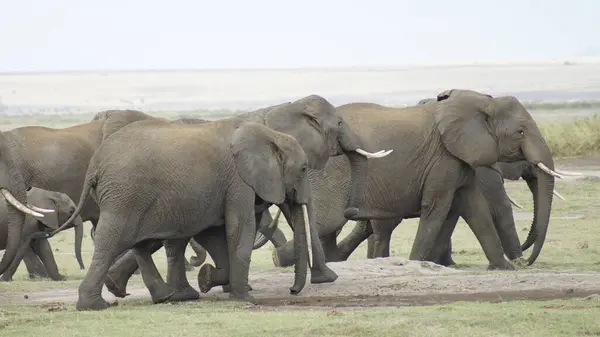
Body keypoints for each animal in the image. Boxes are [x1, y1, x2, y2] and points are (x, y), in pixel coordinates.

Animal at [41, 118, 322, 310]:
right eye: (304, 168)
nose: (293, 290)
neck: (271, 134)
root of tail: (95, 164)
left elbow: (215, 234)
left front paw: (207, 279)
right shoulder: (238, 181)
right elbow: (240, 229)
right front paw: (245, 299)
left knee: (142, 243)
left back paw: (169, 296)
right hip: (125, 195)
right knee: (113, 240)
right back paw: (95, 305)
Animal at [270, 88, 572, 270]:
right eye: (521, 132)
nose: (526, 261)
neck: (483, 102)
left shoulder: (461, 159)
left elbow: (473, 207)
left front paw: (503, 268)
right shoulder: (446, 158)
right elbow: (441, 208)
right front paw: (418, 263)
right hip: (331, 172)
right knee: (328, 221)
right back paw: (283, 259)